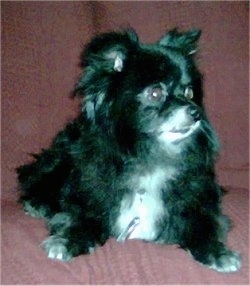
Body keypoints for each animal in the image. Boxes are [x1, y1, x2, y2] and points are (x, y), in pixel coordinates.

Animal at [16, 29, 241, 272]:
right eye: (155, 93)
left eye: (190, 92)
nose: (195, 112)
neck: (149, 155)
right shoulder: (86, 196)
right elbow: (80, 219)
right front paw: (67, 241)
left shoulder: (199, 203)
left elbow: (204, 228)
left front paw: (218, 253)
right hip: (62, 159)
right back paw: (37, 204)